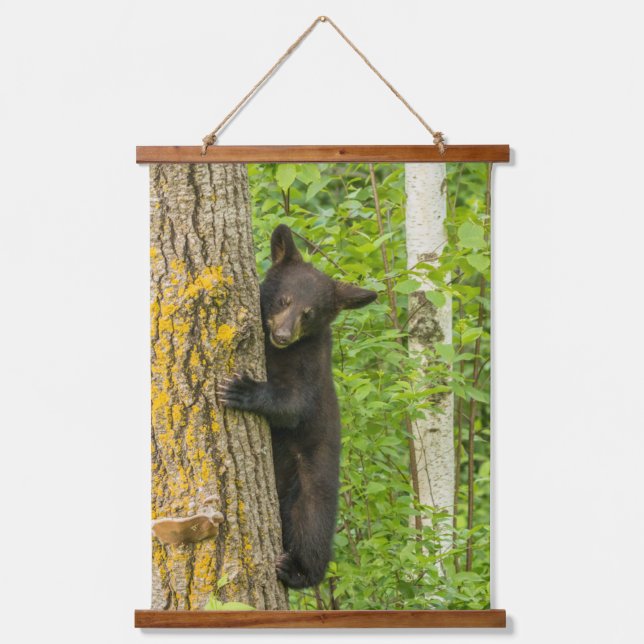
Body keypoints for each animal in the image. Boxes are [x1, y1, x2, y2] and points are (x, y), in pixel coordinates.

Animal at [219, 224, 377, 589]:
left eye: (309, 313)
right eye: (284, 300)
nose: (282, 334)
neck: (277, 352)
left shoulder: (310, 365)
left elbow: (293, 405)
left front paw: (242, 389)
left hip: (312, 483)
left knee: (310, 529)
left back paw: (297, 570)